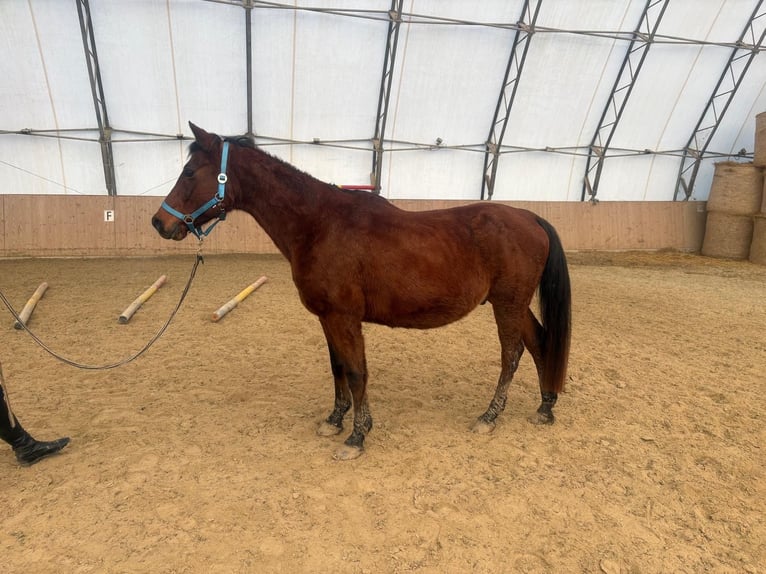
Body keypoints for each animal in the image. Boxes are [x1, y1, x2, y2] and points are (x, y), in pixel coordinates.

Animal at [152, 122, 572, 460]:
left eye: (189, 172)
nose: (159, 223)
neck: (320, 224)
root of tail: (530, 217)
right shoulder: (327, 317)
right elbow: (337, 367)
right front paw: (334, 420)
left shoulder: (344, 317)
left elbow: (356, 372)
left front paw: (356, 436)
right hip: (515, 304)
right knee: (539, 342)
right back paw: (545, 407)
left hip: (507, 304)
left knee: (512, 354)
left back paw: (489, 416)